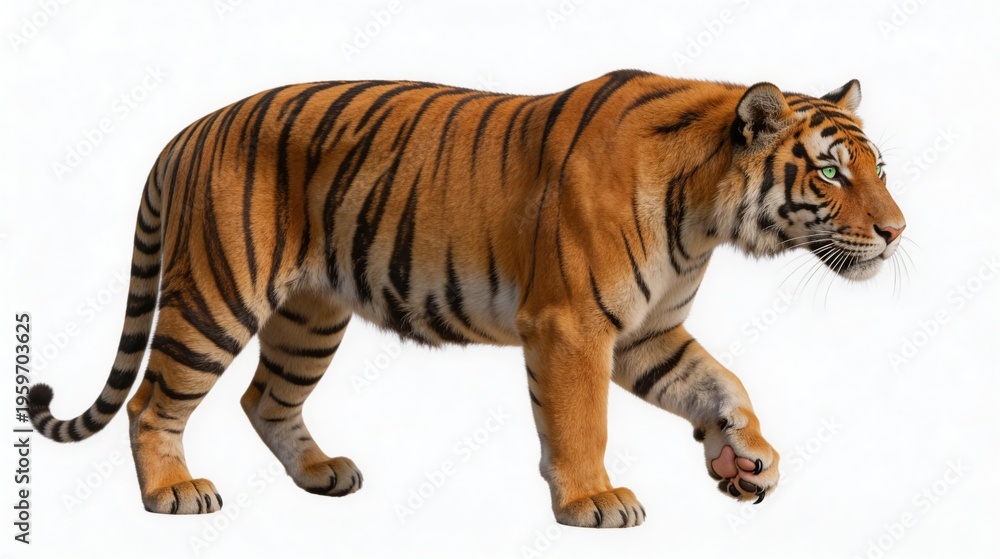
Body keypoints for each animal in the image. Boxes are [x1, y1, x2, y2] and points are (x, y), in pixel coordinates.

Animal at [28, 70, 905, 528]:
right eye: (831, 172)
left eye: (879, 168)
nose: (898, 232)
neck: (706, 214)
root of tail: (190, 129)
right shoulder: (573, 325)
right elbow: (581, 420)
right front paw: (593, 499)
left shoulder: (646, 333)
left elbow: (722, 382)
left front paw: (745, 458)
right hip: (217, 296)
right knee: (154, 400)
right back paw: (173, 492)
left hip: (310, 312)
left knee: (264, 398)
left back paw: (321, 473)